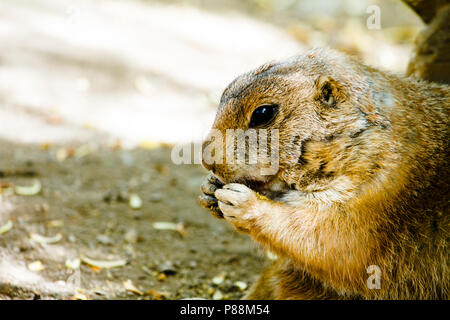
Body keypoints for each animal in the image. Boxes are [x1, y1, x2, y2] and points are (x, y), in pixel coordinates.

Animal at [200, 48, 450, 300]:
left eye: (263, 113)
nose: (206, 160)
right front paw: (209, 189)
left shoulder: (379, 191)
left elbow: (332, 238)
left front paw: (242, 201)